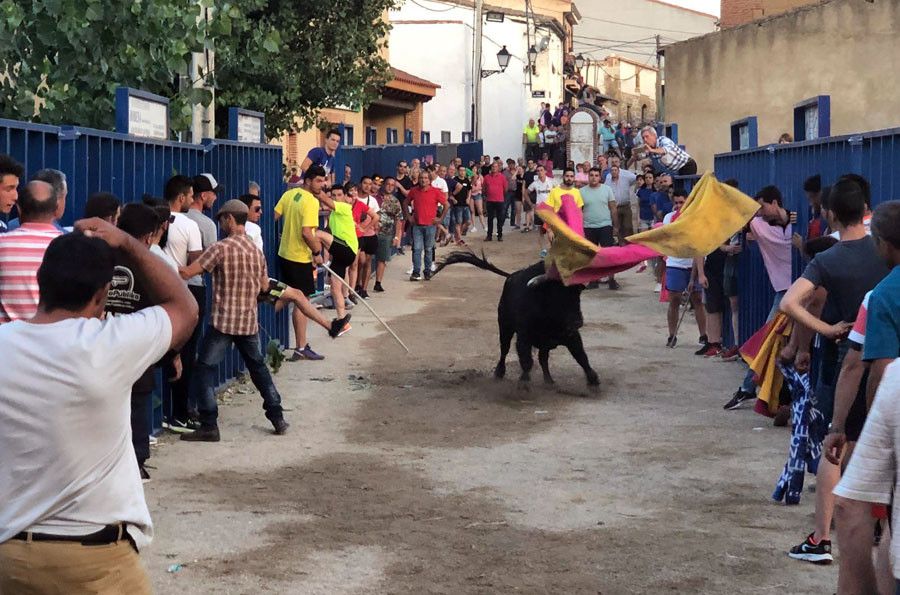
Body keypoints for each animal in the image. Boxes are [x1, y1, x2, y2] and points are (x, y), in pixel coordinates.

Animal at [434, 251, 596, 386]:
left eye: (577, 295)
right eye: (557, 296)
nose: (577, 321)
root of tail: (510, 276)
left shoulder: (571, 336)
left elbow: (581, 356)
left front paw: (594, 381)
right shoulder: (524, 337)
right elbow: (526, 360)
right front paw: (524, 382)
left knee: (543, 359)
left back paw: (549, 381)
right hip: (505, 327)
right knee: (504, 350)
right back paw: (499, 372)